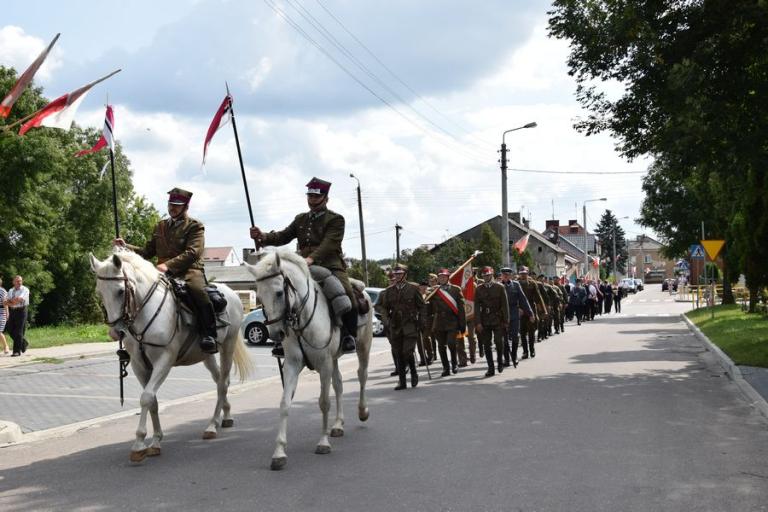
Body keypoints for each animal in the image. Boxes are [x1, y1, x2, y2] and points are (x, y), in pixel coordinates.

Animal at [90, 253, 252, 464]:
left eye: (120, 291)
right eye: (99, 292)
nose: (115, 333)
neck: (146, 314)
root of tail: (231, 293)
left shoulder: (164, 361)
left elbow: (146, 398)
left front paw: (139, 444)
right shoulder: (139, 366)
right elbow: (152, 401)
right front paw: (156, 441)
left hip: (228, 347)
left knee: (223, 384)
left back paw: (211, 426)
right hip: (206, 355)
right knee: (219, 381)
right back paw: (224, 417)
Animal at [248, 250, 374, 470]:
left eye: (279, 293)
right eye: (260, 296)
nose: (276, 333)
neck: (302, 319)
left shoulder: (324, 364)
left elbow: (324, 402)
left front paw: (323, 443)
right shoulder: (292, 365)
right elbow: (284, 403)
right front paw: (279, 452)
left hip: (363, 347)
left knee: (362, 376)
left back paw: (362, 411)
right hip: (334, 359)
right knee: (339, 384)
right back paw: (338, 424)